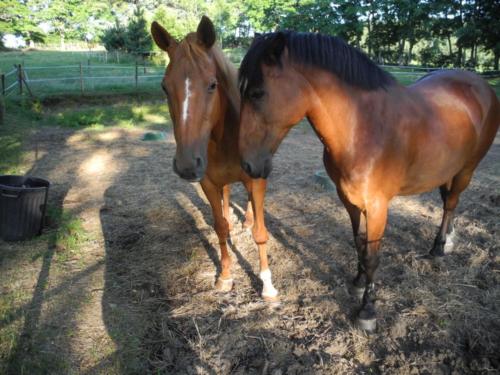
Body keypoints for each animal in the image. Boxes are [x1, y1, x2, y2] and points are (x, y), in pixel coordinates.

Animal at [150, 16, 280, 300]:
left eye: (212, 85)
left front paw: (267, 284)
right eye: (164, 87)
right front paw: (225, 276)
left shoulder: (256, 179)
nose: (187, 165)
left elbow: (260, 232)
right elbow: (219, 227)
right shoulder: (208, 183)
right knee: (228, 195)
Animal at [238, 32, 500, 332]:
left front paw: (367, 310)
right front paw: (358, 282)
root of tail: (481, 85)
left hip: (467, 169)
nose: (247, 165)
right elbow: (358, 244)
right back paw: (447, 242)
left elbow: (372, 255)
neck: (361, 127)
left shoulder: (377, 206)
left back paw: (438, 248)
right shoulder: (348, 199)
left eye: (258, 93)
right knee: (449, 202)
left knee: (450, 205)